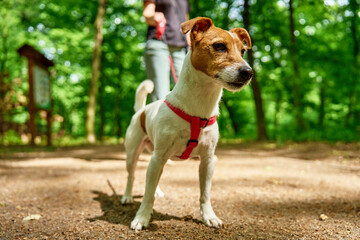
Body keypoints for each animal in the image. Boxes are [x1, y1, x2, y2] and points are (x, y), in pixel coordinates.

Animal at [121, 16, 253, 231]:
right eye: (219, 46)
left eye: (242, 51)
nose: (248, 72)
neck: (199, 108)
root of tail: (141, 110)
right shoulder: (159, 157)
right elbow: (146, 197)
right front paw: (141, 218)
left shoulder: (207, 160)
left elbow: (205, 194)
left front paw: (209, 216)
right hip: (134, 154)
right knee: (131, 176)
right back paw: (126, 196)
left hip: (155, 157)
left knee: (152, 180)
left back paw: (156, 191)